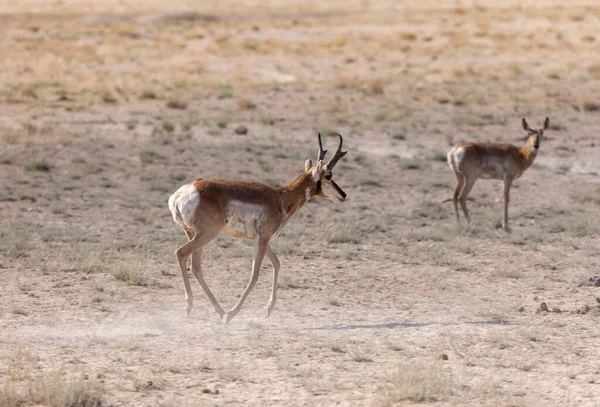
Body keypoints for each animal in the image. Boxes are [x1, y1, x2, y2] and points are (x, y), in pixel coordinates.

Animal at [168, 132, 346, 324]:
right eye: (328, 175)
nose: (343, 195)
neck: (280, 197)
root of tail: (181, 193)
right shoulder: (263, 238)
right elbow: (255, 274)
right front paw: (233, 313)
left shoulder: (262, 239)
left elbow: (277, 263)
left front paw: (268, 309)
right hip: (206, 235)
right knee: (181, 253)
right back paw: (201, 309)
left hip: (195, 235)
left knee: (195, 267)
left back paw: (218, 311)